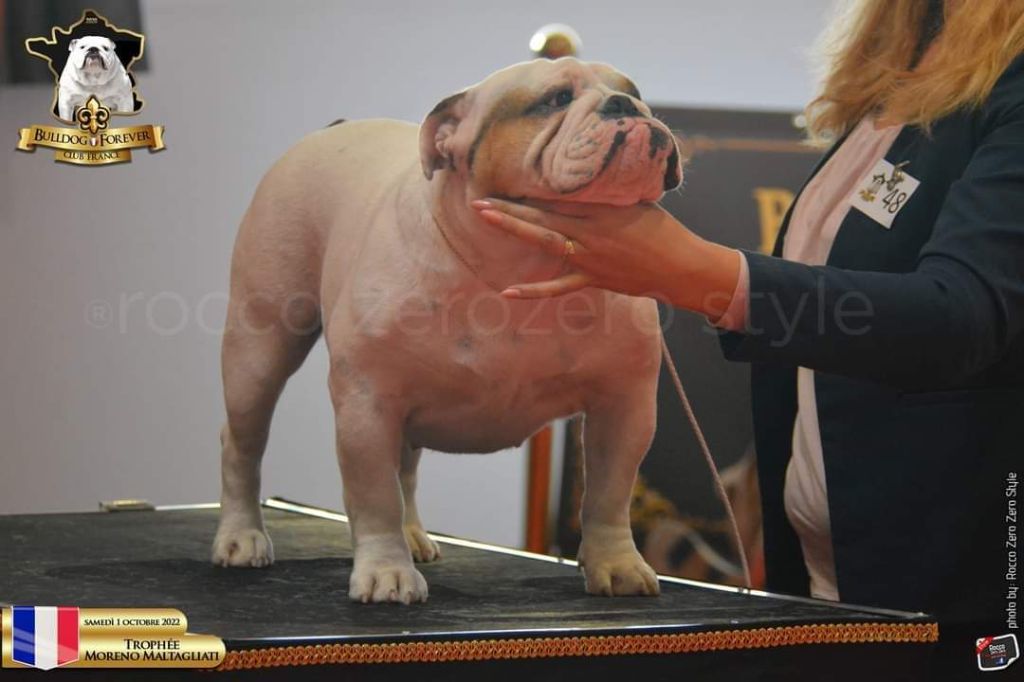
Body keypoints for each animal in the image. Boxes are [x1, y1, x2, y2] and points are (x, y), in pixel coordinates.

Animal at [212, 57, 683, 604]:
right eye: (555, 100)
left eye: (635, 92)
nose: (625, 105)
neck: (520, 264)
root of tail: (330, 130)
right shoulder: (368, 403)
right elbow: (374, 496)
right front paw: (385, 571)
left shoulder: (623, 405)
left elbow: (609, 494)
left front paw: (617, 564)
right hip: (259, 350)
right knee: (243, 442)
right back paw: (241, 537)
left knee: (405, 468)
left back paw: (413, 536)